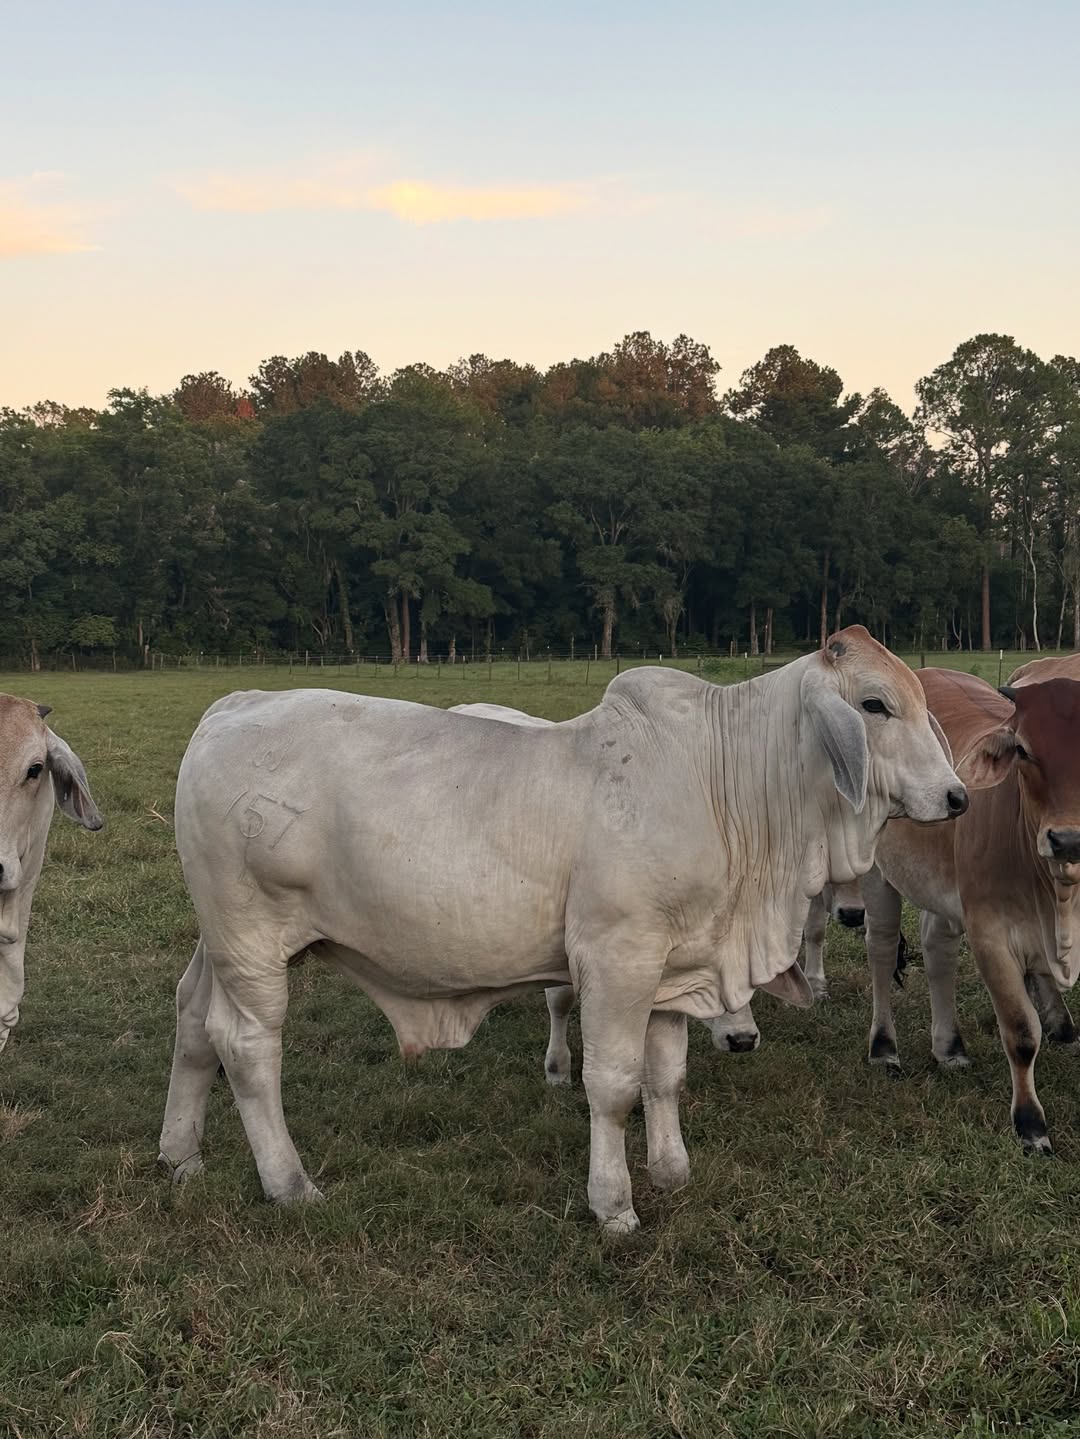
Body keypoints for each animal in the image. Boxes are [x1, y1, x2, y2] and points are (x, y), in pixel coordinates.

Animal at [861, 664, 1080, 1153]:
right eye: (1023, 749)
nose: (1068, 839)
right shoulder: (991, 936)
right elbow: (1021, 1032)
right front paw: (1030, 1124)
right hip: (877, 873)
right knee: (882, 951)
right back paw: (884, 1048)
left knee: (937, 950)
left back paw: (950, 1047)